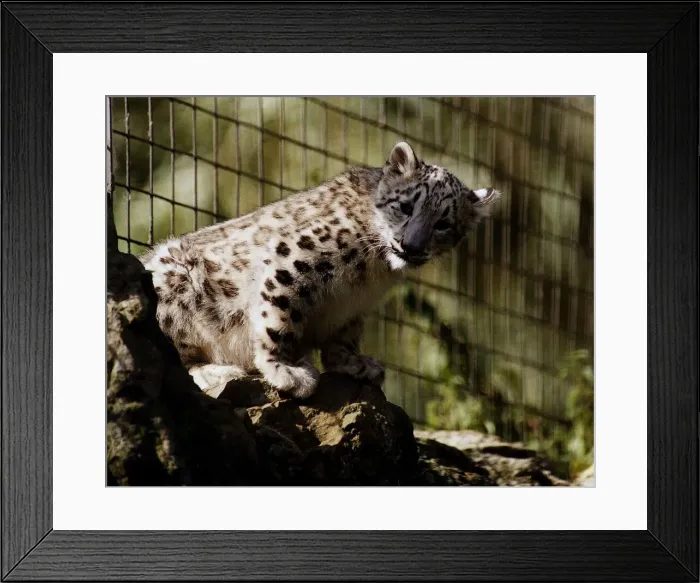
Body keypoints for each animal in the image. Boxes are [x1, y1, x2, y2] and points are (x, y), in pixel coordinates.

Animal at [140, 141, 500, 399]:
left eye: (444, 224)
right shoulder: (293, 259)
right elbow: (279, 319)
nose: (410, 246)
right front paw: (284, 369)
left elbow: (344, 336)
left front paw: (355, 363)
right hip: (174, 284)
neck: (373, 274)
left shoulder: (353, 308)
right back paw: (218, 371)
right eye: (407, 205)